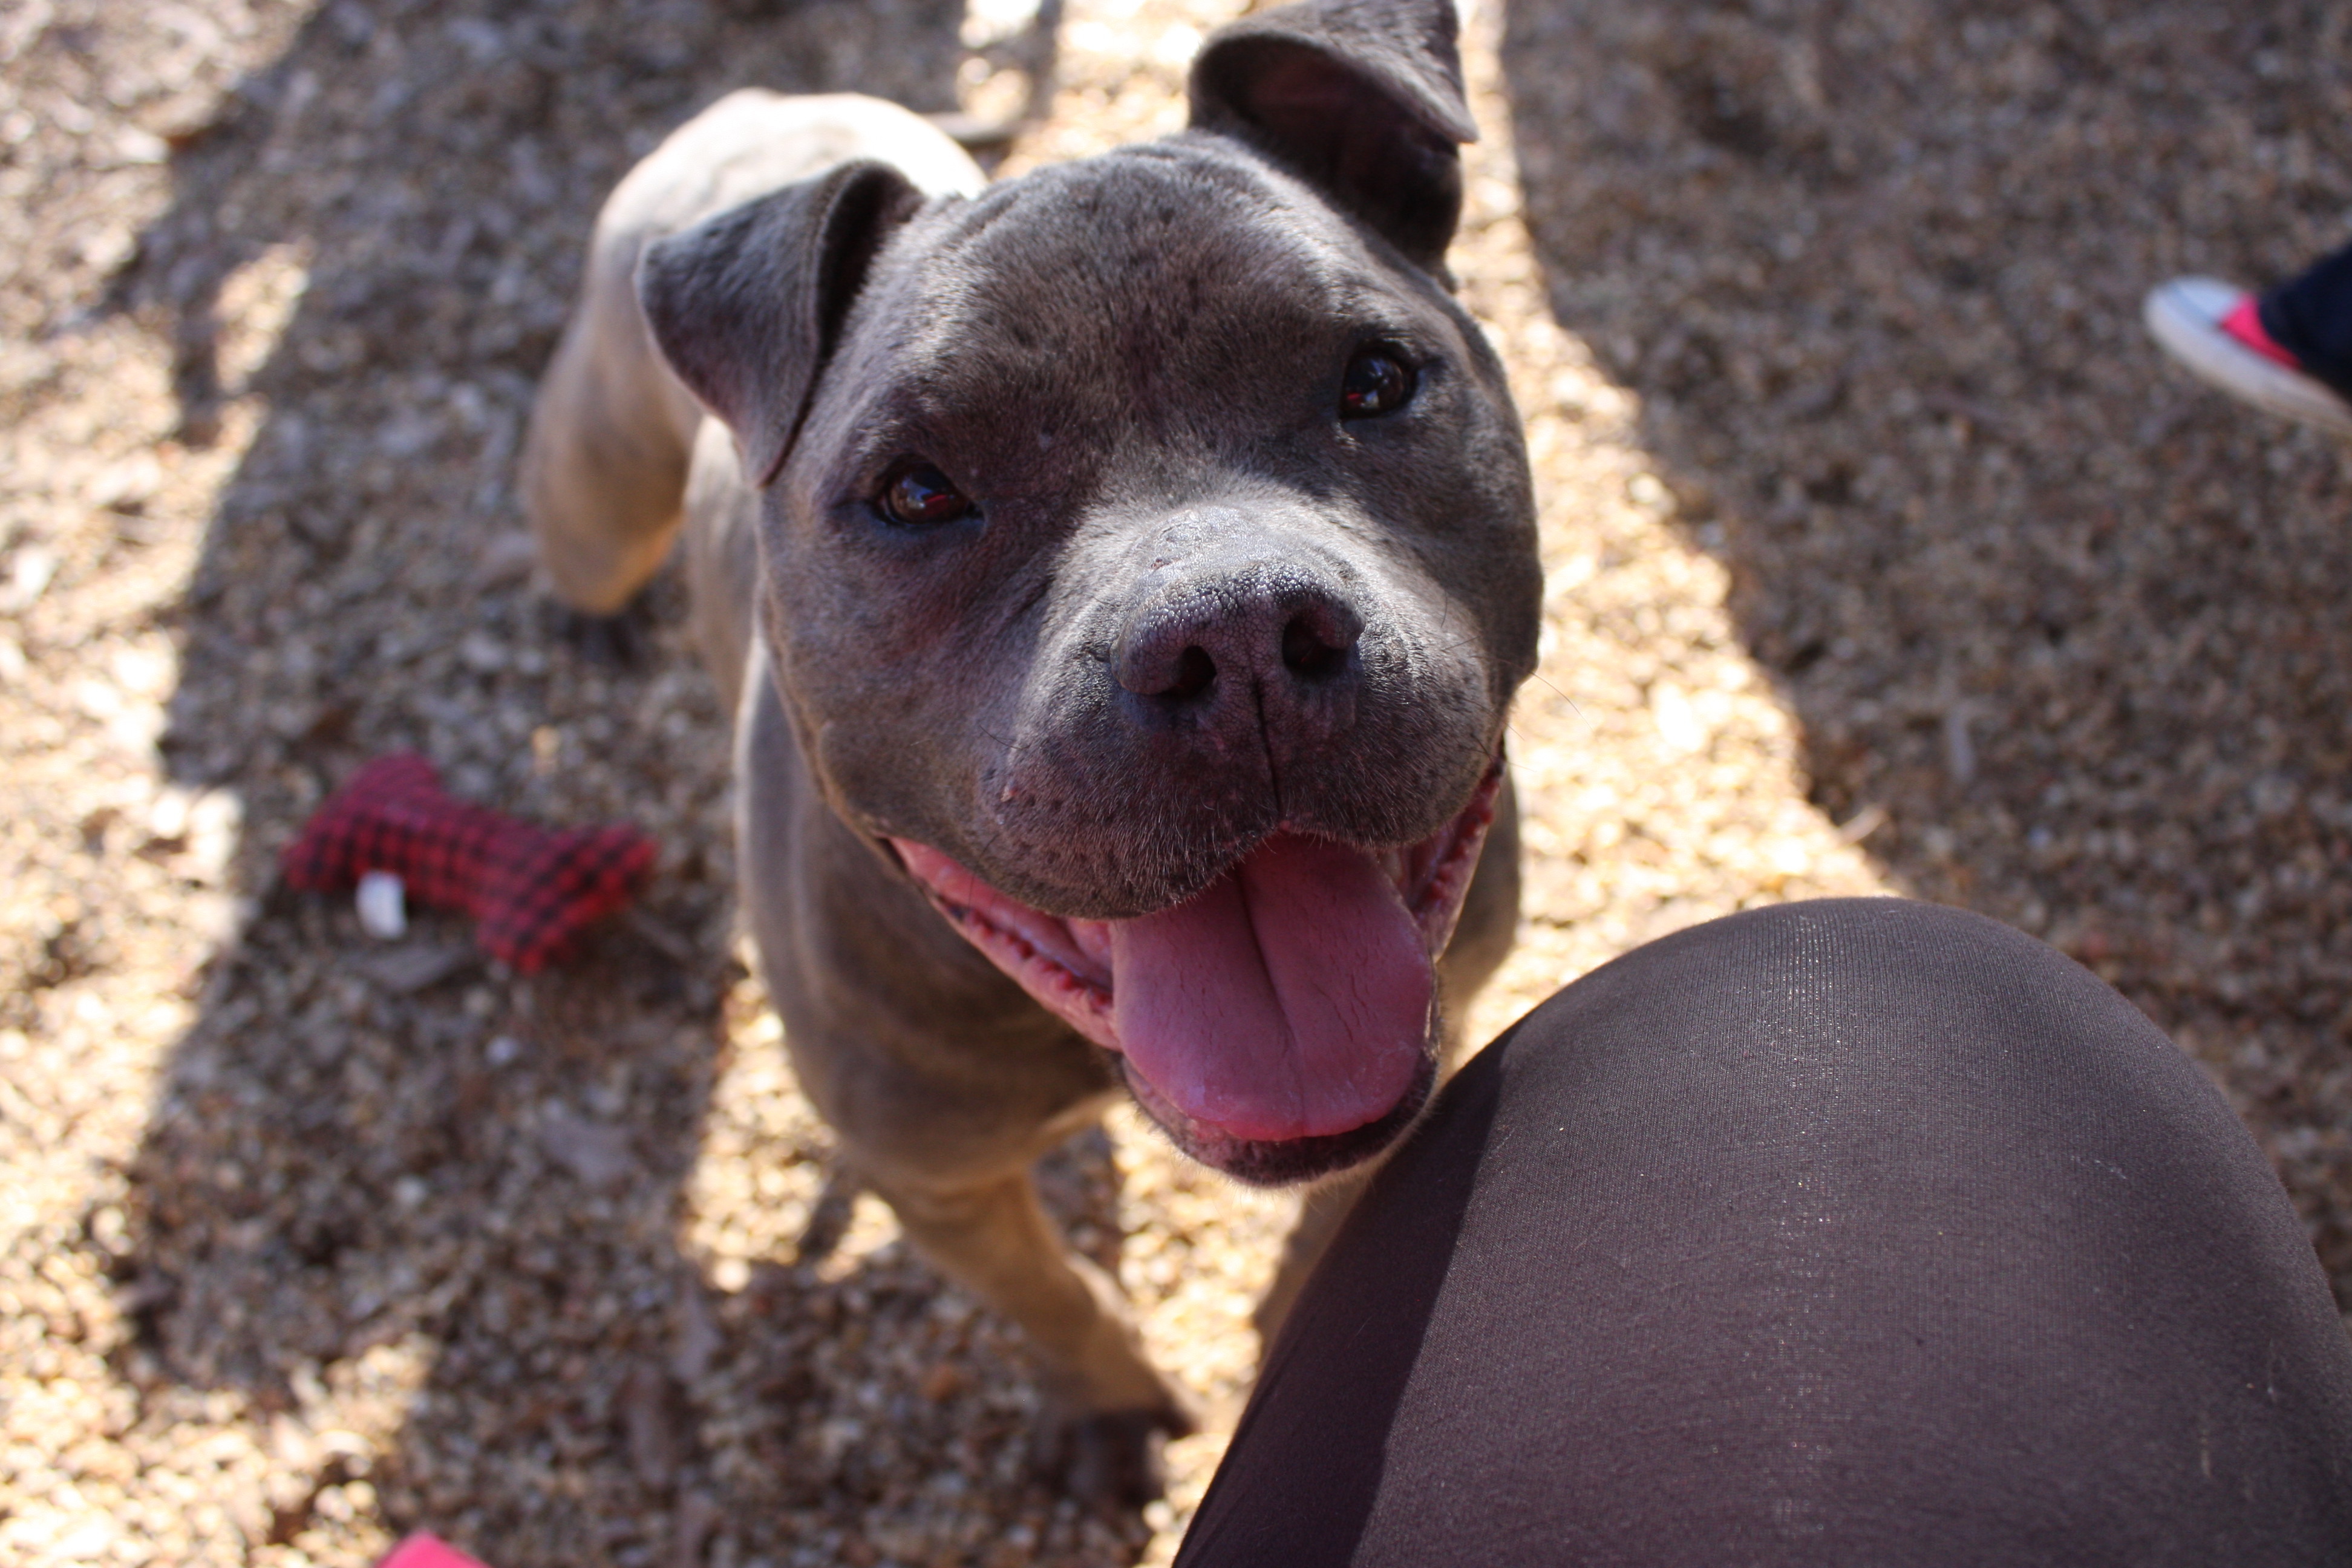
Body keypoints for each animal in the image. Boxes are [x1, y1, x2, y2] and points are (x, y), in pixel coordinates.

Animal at [522, 0, 1543, 1504]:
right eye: (915, 492)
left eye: (1375, 381)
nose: (1236, 632)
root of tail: (761, 104)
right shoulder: (936, 1181)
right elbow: (1048, 1295)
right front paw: (1109, 1403)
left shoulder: (1446, 1015)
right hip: (599, 479)